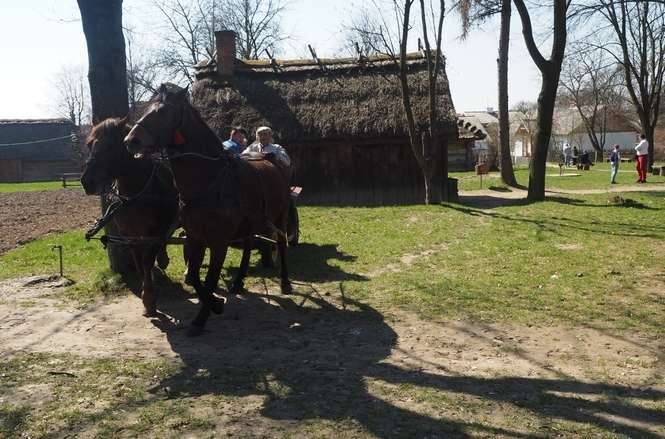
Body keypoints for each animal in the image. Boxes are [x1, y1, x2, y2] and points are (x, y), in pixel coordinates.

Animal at [80, 117, 179, 316]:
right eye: (89, 145)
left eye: (110, 146)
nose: (87, 182)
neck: (135, 193)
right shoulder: (130, 234)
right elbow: (138, 261)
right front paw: (146, 293)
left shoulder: (154, 232)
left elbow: (147, 260)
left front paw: (149, 298)